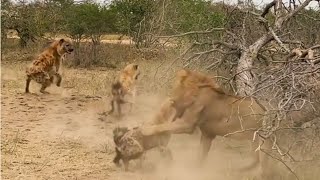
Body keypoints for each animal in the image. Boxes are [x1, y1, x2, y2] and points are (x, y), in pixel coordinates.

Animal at [142, 69, 270, 178]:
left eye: (174, 88)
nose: (171, 100)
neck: (195, 92)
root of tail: (267, 110)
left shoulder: (187, 124)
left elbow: (162, 126)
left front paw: (145, 129)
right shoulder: (207, 134)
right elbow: (200, 156)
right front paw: (196, 170)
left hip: (262, 140)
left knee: (261, 164)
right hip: (255, 141)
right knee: (255, 160)